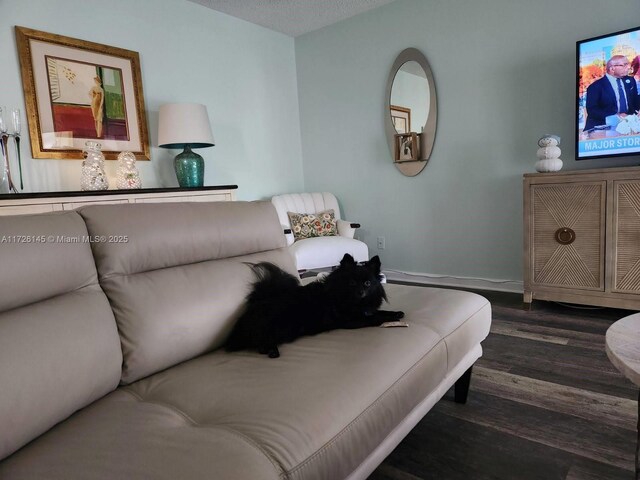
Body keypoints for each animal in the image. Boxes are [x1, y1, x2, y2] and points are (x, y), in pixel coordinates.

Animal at [226, 253, 404, 358]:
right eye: (352, 283)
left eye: (367, 283)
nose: (361, 292)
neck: (355, 302)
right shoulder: (351, 320)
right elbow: (375, 318)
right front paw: (390, 318)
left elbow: (380, 311)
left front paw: (396, 313)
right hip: (281, 327)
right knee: (261, 340)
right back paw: (271, 351)